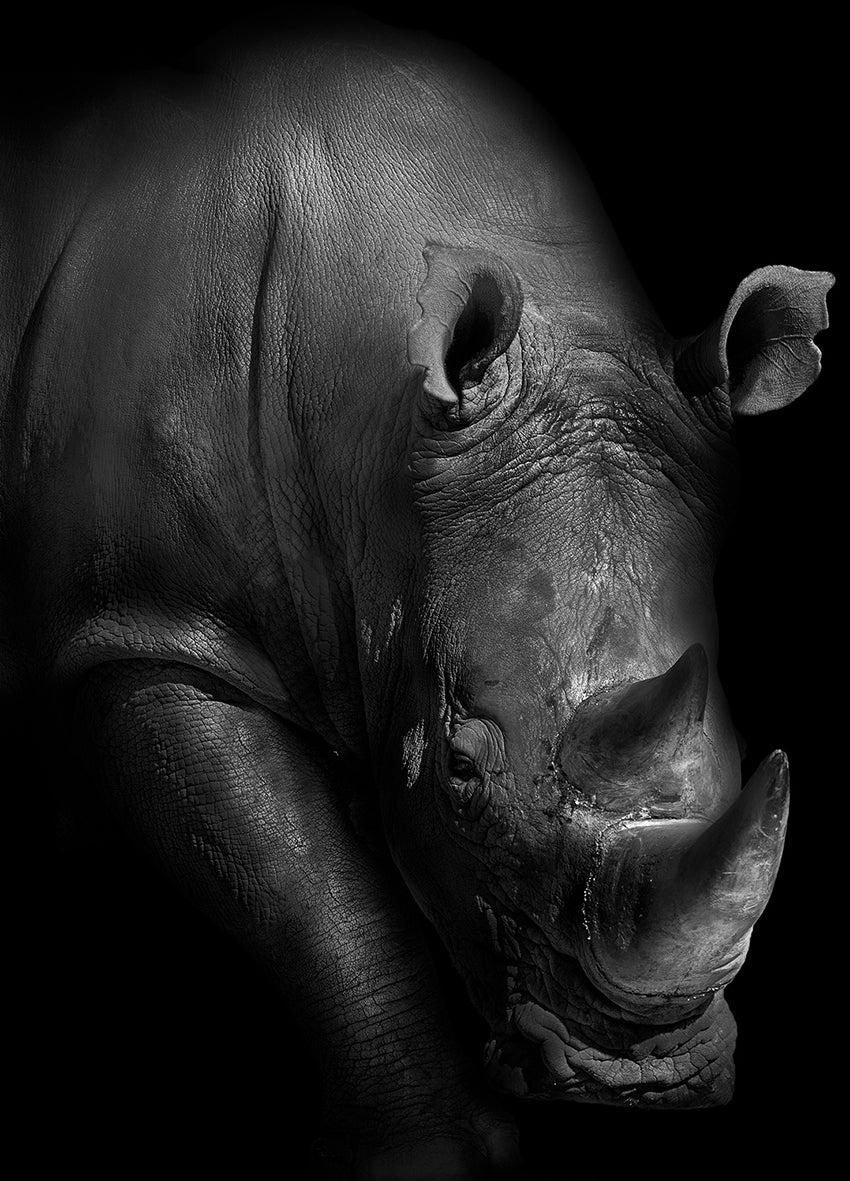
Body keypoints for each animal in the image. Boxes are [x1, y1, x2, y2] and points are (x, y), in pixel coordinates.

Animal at [2, 14, 833, 1180]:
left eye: (740, 745)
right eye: (459, 768)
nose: (643, 1078)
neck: (376, 433)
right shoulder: (142, 625)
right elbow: (299, 876)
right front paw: (428, 1158)